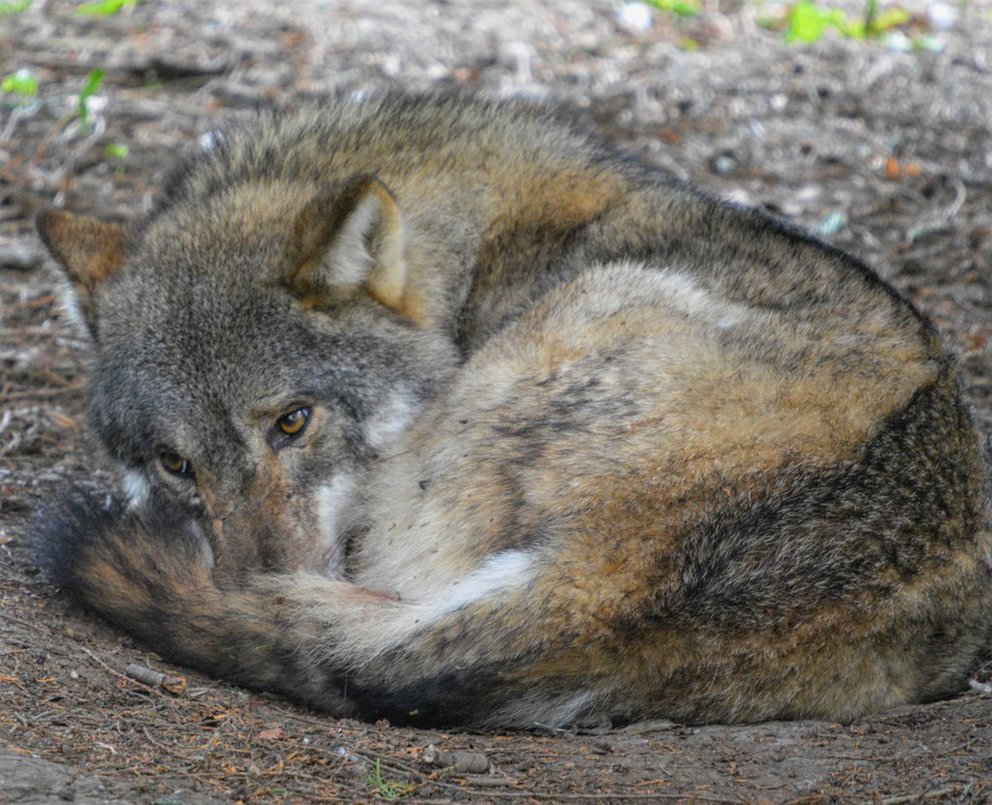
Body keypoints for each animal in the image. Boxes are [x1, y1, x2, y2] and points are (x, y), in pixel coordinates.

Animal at [35, 91, 992, 728]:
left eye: (292, 421)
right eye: (175, 463)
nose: (241, 588)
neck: (471, 252)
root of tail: (611, 582)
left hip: (567, 331)